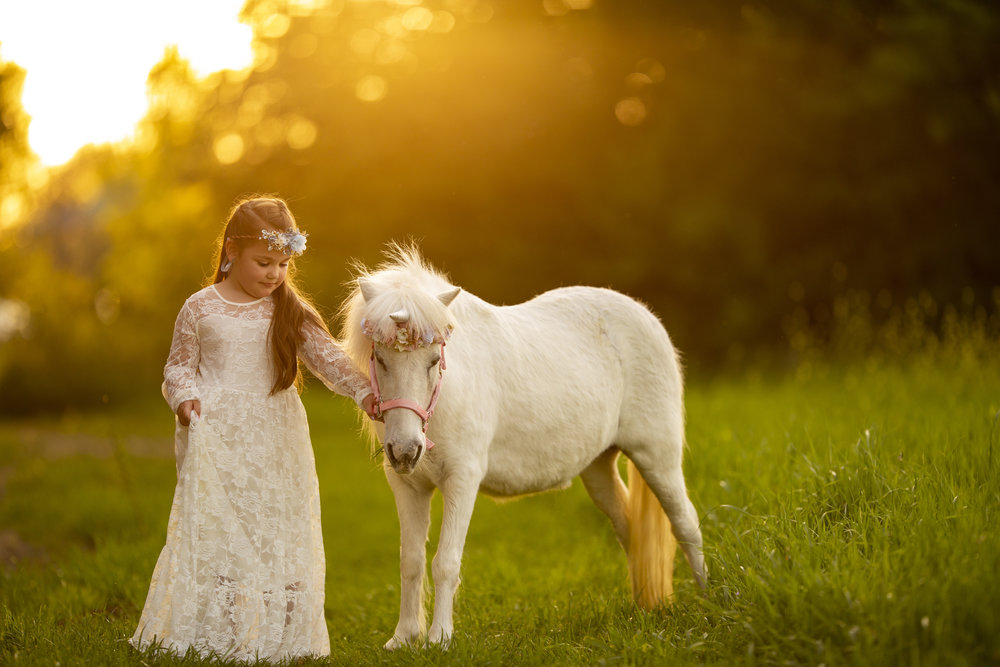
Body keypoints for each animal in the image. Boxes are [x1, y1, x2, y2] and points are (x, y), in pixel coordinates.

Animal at [340, 245, 708, 648]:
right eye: (379, 358)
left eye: (434, 359)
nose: (406, 450)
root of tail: (646, 317)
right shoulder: (408, 485)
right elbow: (410, 562)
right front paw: (404, 638)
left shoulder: (461, 480)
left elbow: (445, 562)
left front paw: (439, 639)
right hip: (599, 468)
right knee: (631, 531)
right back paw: (643, 609)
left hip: (657, 457)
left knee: (686, 524)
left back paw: (708, 601)